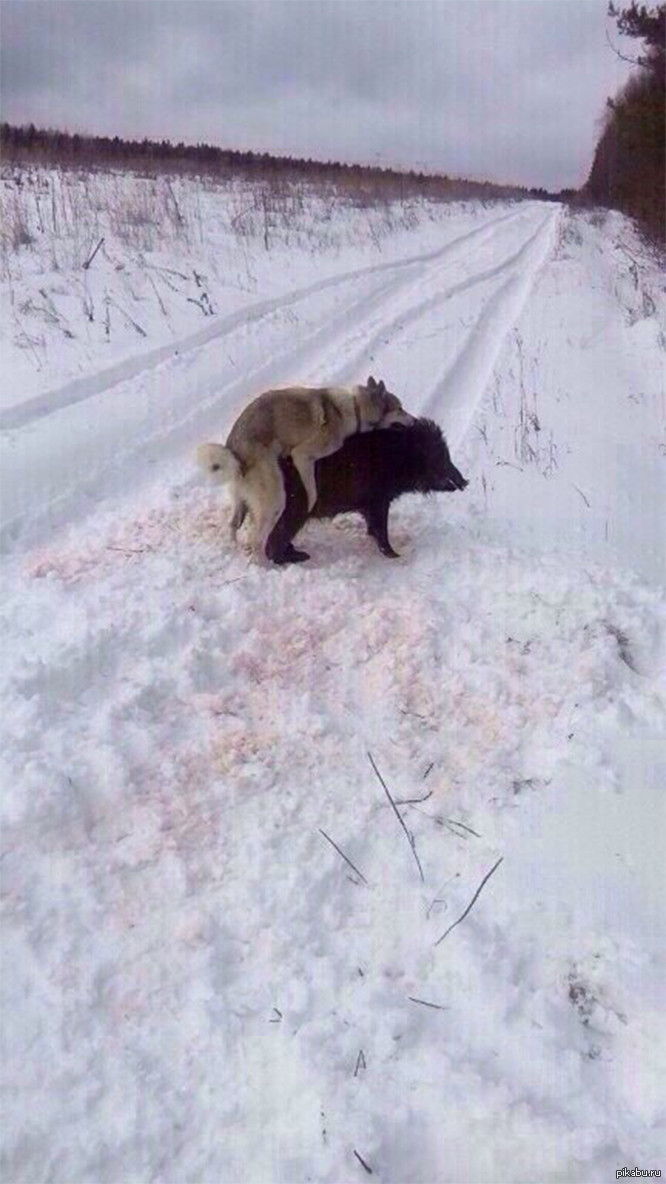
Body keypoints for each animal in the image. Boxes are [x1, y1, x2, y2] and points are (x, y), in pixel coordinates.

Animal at [195, 374, 410, 554]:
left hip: (241, 501)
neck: (356, 408)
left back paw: (234, 548)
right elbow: (311, 489)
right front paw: (311, 502)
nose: (415, 420)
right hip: (275, 498)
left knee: (233, 524)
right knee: (257, 541)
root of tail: (234, 452)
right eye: (400, 409)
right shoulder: (302, 456)